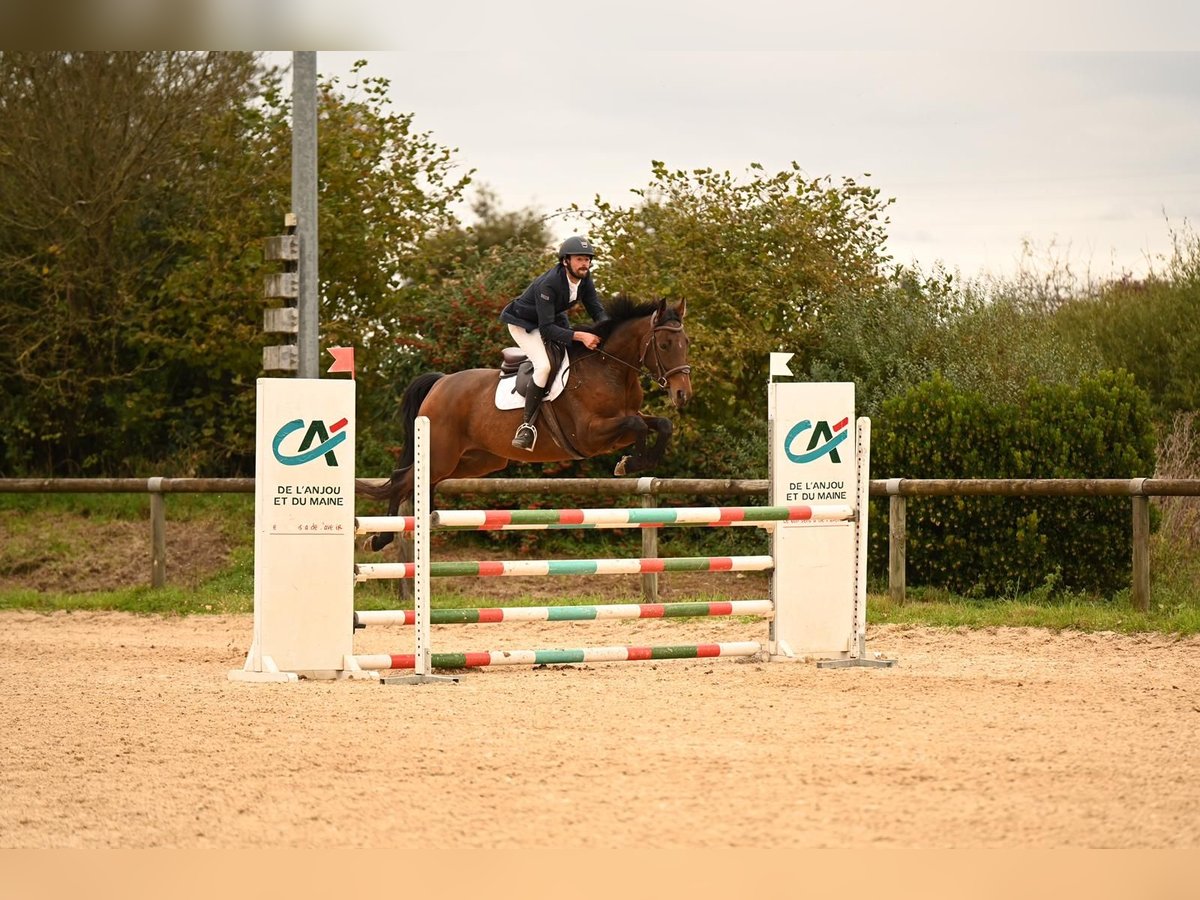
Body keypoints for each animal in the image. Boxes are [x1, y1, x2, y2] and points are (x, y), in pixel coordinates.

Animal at [355, 297, 696, 549]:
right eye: (664, 345)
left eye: (686, 342)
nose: (682, 394)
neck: (610, 369)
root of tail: (440, 383)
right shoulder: (589, 435)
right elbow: (637, 427)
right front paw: (630, 463)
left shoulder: (624, 421)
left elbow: (661, 424)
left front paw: (639, 462)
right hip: (441, 454)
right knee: (402, 479)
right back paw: (381, 537)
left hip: (476, 461)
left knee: (421, 481)